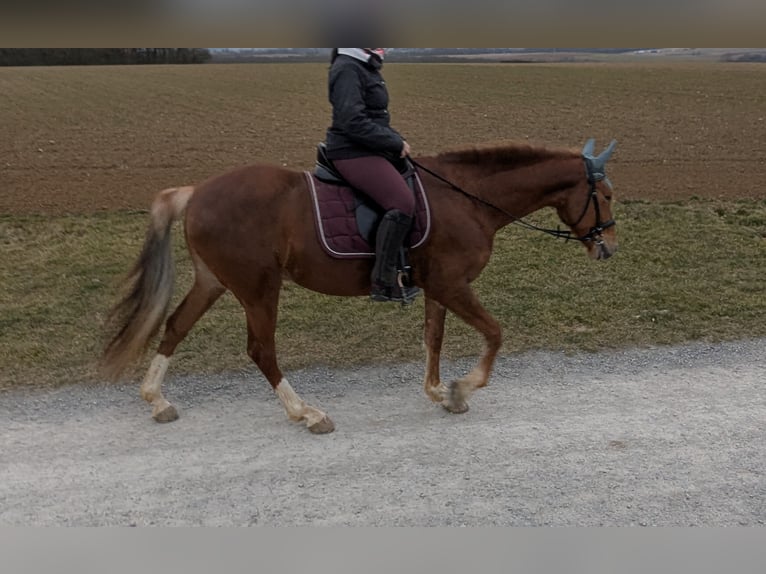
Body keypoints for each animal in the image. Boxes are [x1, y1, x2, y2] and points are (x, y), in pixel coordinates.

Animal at [100, 141, 616, 436]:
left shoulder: (437, 287)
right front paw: (461, 389)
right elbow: (494, 333)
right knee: (261, 349)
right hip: (258, 288)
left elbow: (433, 338)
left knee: (175, 326)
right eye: (606, 195)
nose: (608, 246)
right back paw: (307, 413)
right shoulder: (452, 284)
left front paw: (438, 393)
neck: (469, 199)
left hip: (215, 282)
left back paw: (157, 400)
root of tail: (196, 191)